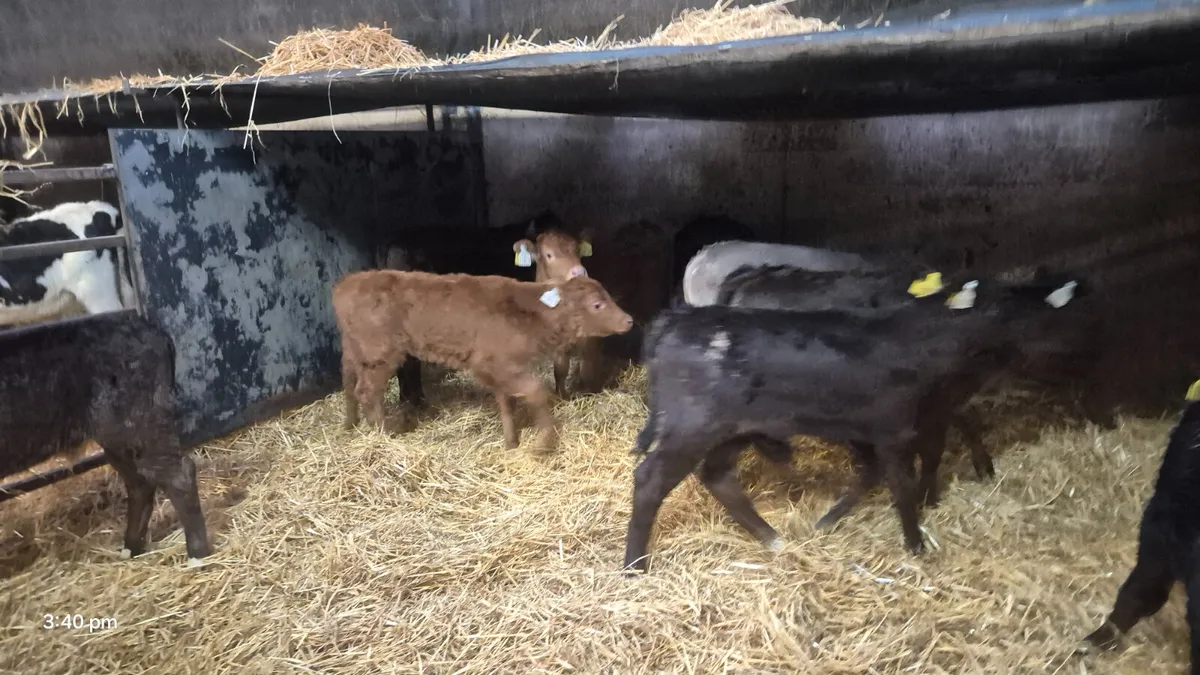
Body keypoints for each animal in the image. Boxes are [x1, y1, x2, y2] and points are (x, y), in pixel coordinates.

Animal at [0, 310, 211, 564]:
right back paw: (130, 548)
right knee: (140, 482)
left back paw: (196, 556)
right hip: (117, 438)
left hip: (144, 420)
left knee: (179, 475)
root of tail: (146, 326)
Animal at [332, 271, 633, 452]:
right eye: (597, 305)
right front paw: (543, 443)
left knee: (349, 380)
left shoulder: (502, 365)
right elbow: (536, 391)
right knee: (367, 391)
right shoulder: (489, 363)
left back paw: (351, 423)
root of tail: (347, 283)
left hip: (354, 348)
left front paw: (511, 442)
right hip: (380, 353)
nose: (629, 320)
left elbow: (505, 402)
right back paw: (384, 436)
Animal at [622, 272, 1085, 574]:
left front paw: (837, 519)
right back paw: (634, 564)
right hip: (691, 426)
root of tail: (675, 321)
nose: (1072, 345)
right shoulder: (893, 428)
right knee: (650, 480)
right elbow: (900, 486)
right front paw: (915, 543)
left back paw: (771, 537)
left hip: (733, 429)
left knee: (717, 476)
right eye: (1009, 314)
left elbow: (883, 472)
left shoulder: (883, 427)